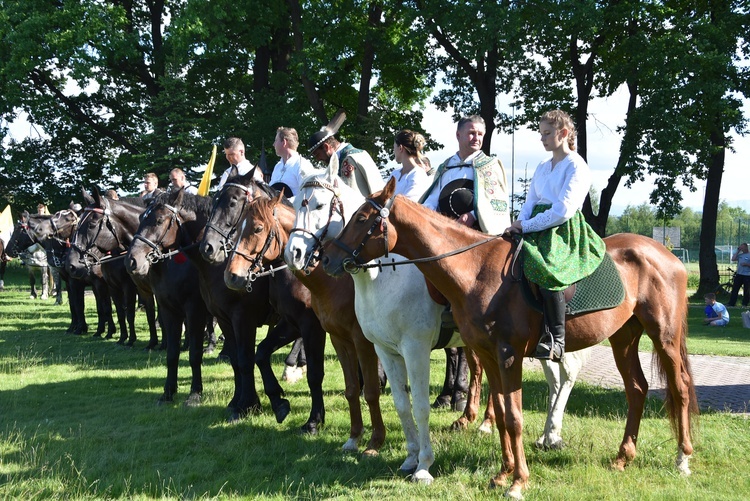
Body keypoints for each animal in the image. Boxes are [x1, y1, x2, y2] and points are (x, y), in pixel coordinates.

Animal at [66, 189, 160, 350]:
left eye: (91, 224)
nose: (71, 265)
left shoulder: (128, 287)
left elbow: (129, 313)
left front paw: (131, 340)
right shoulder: (112, 286)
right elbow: (118, 312)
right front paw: (122, 338)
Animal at [284, 158, 592, 482]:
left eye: (319, 205)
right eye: (296, 202)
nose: (296, 254)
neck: (382, 278)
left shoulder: (410, 348)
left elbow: (412, 404)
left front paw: (419, 464)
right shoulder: (379, 347)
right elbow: (395, 402)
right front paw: (405, 455)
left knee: (564, 375)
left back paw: (543, 434)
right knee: (502, 376)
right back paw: (482, 422)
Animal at [324, 176, 700, 496]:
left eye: (361, 218)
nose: (327, 259)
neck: (475, 270)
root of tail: (667, 256)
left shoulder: (505, 355)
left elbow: (515, 417)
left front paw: (518, 482)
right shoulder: (487, 355)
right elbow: (504, 415)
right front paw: (503, 474)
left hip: (663, 336)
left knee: (679, 386)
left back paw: (683, 458)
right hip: (623, 337)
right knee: (636, 389)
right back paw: (623, 457)